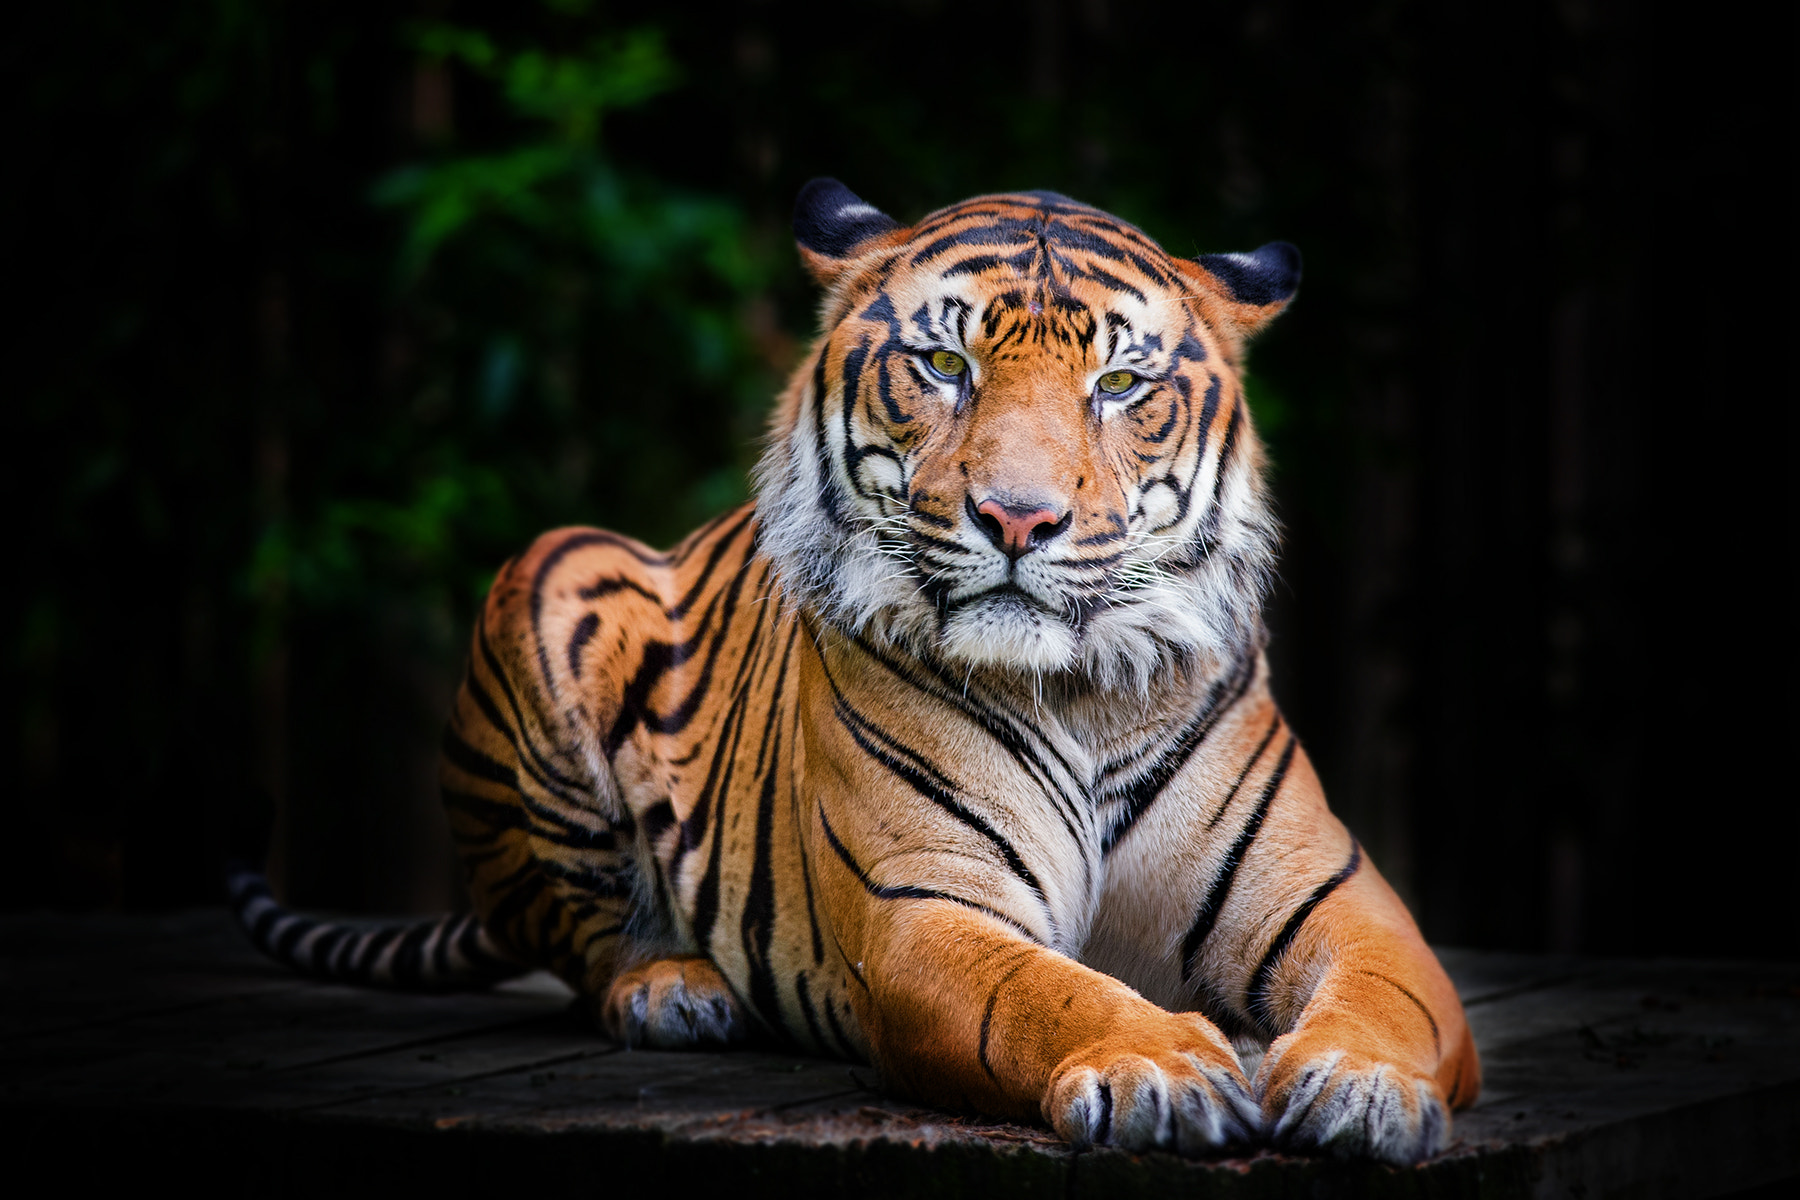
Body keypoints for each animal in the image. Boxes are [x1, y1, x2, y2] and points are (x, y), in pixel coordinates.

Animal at [235, 178, 1476, 1165]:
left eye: (1120, 384)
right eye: (944, 364)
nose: (1016, 518)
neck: (1078, 687)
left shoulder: (1339, 901)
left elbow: (1394, 996)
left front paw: (1365, 1090)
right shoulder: (926, 914)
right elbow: (1049, 990)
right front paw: (1161, 1069)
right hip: (555, 570)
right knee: (580, 935)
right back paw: (673, 989)